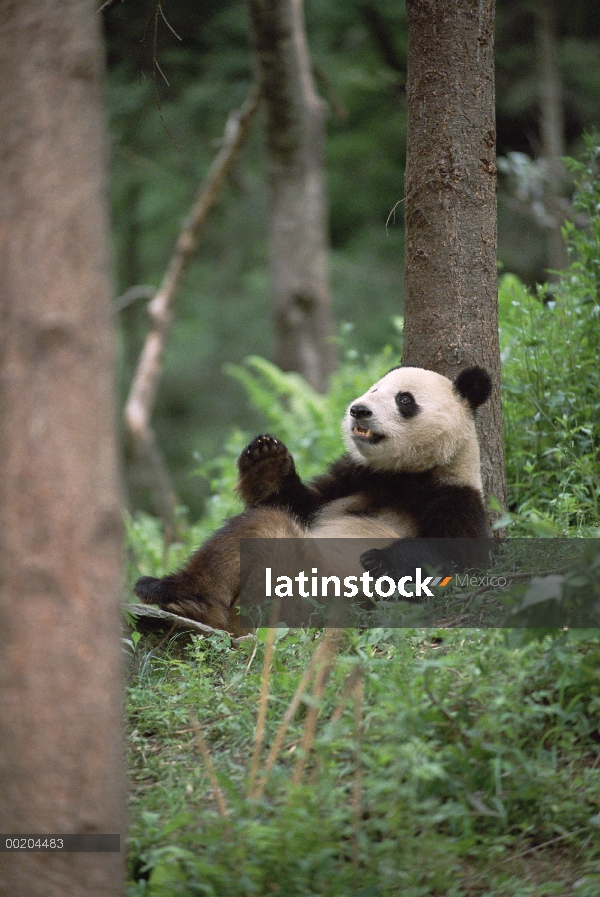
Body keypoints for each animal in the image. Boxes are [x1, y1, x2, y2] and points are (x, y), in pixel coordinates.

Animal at [135, 362, 492, 632]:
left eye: (404, 399)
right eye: (374, 390)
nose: (359, 410)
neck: (407, 472)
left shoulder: (456, 497)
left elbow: (453, 561)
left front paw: (380, 560)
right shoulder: (353, 477)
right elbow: (297, 502)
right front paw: (265, 459)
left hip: (301, 589)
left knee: (266, 529)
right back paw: (173, 595)